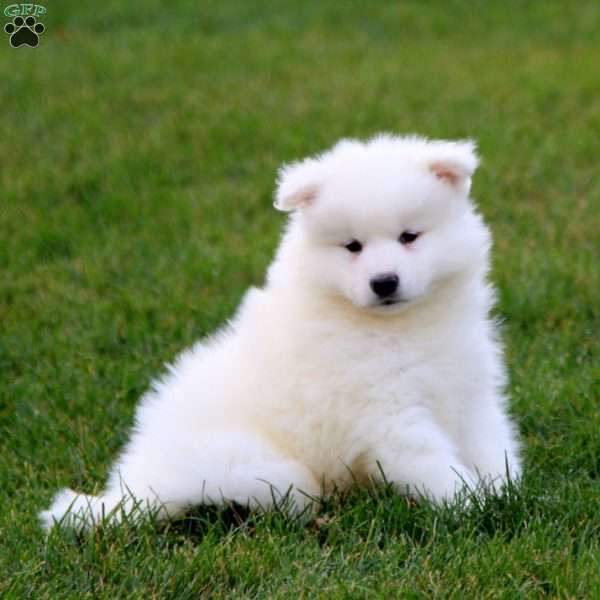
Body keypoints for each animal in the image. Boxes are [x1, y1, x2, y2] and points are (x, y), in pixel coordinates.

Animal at [41, 132, 520, 528]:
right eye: (353, 246)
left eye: (409, 236)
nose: (384, 282)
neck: (402, 327)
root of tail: (132, 483)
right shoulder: (388, 418)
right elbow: (436, 466)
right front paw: (472, 503)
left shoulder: (472, 393)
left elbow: (490, 443)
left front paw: (503, 491)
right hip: (252, 463)